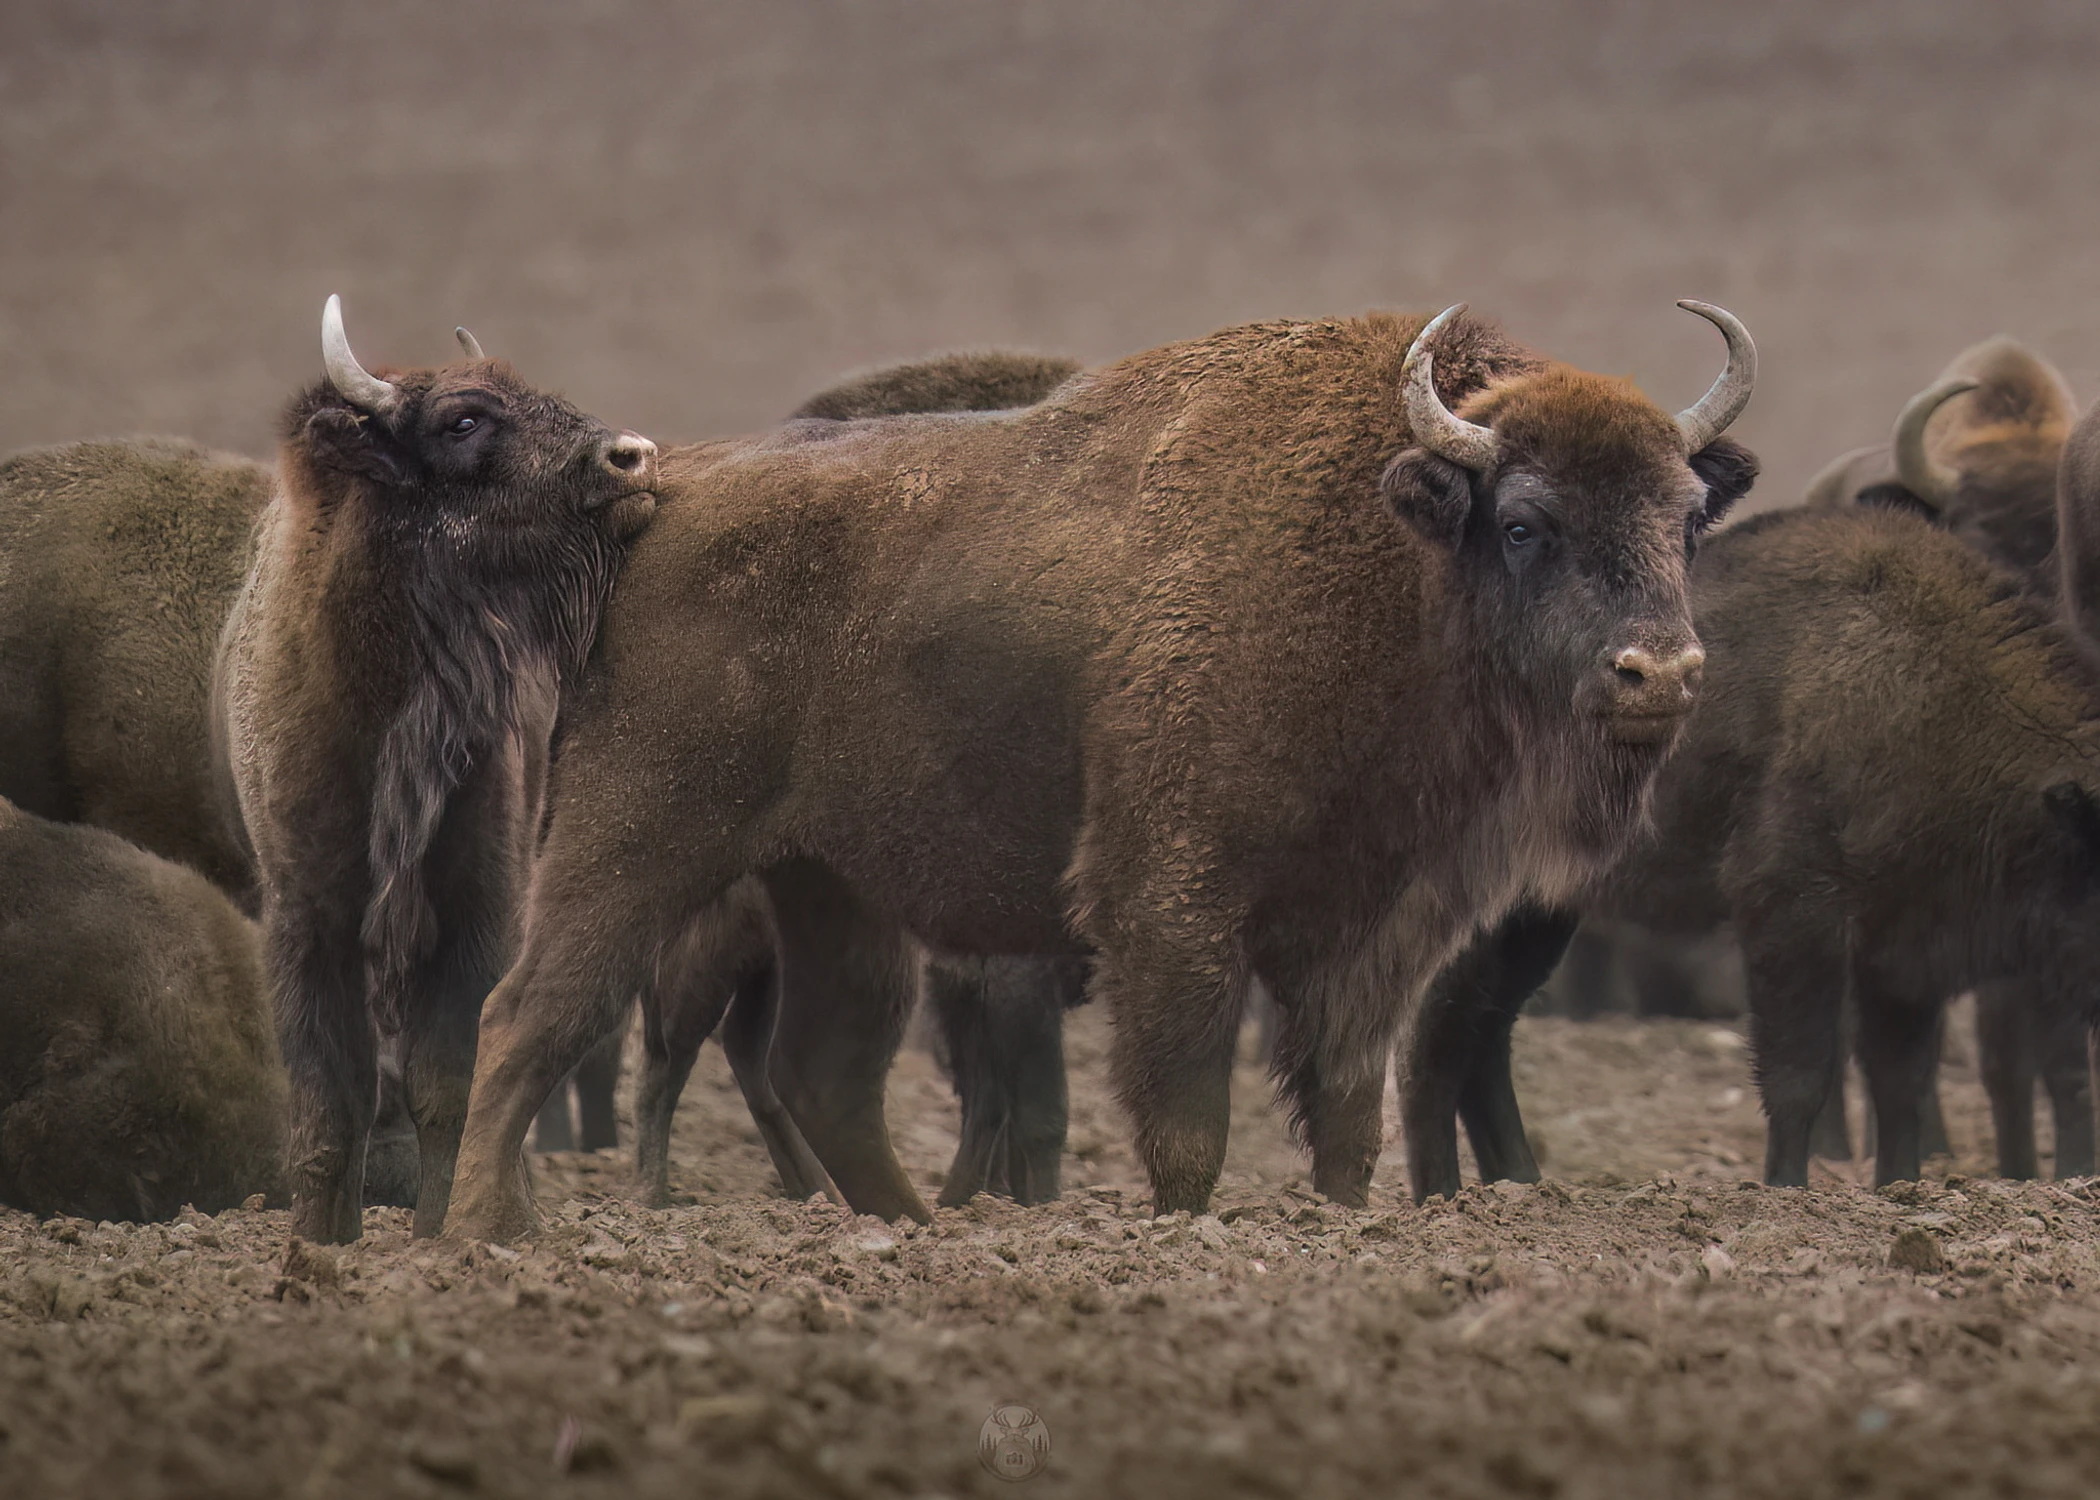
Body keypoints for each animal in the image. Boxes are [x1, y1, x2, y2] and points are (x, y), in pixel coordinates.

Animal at [217, 294, 651, 1235]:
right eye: (463, 420)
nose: (633, 457)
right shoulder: (308, 915)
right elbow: (329, 1102)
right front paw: (319, 1245)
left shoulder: (474, 904)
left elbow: (448, 1083)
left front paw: (452, 1234)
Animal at [451, 298, 1763, 1235]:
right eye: (1526, 521)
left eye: (1684, 514)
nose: (1662, 673)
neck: (1391, 558)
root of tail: (660, 502)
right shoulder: (1172, 906)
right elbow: (1188, 1120)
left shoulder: (1376, 931)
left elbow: (1347, 1120)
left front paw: (1345, 1228)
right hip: (637, 841)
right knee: (529, 1012)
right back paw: (483, 1232)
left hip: (833, 889)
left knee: (826, 1066)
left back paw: (917, 1228)